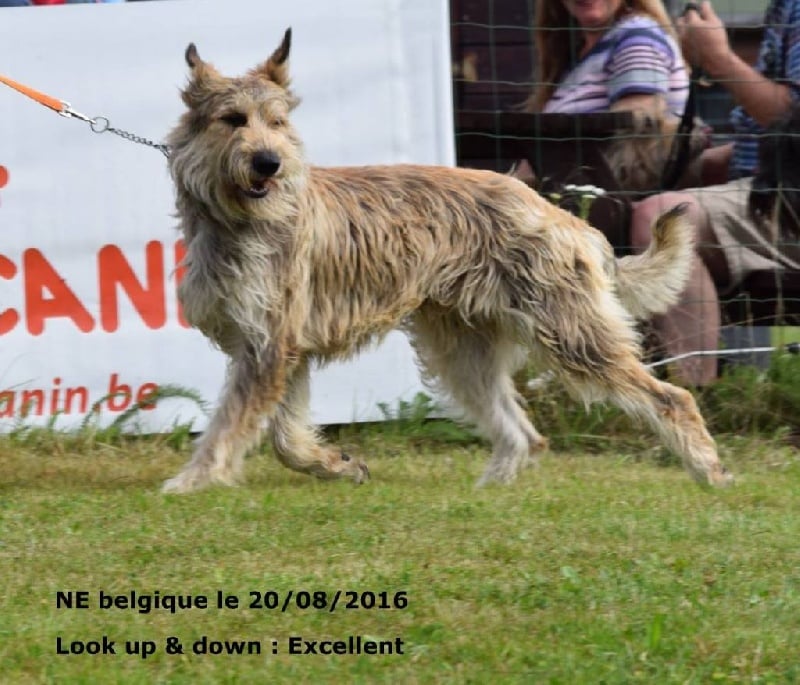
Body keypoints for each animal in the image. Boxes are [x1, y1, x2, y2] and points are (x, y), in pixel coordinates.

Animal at [161, 30, 732, 492]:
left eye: (278, 122)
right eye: (232, 120)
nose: (269, 163)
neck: (238, 218)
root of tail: (561, 216)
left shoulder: (270, 346)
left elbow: (227, 426)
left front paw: (190, 483)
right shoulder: (278, 348)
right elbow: (284, 437)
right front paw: (334, 464)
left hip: (573, 336)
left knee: (671, 398)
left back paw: (708, 470)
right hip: (463, 350)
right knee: (523, 433)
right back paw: (488, 491)